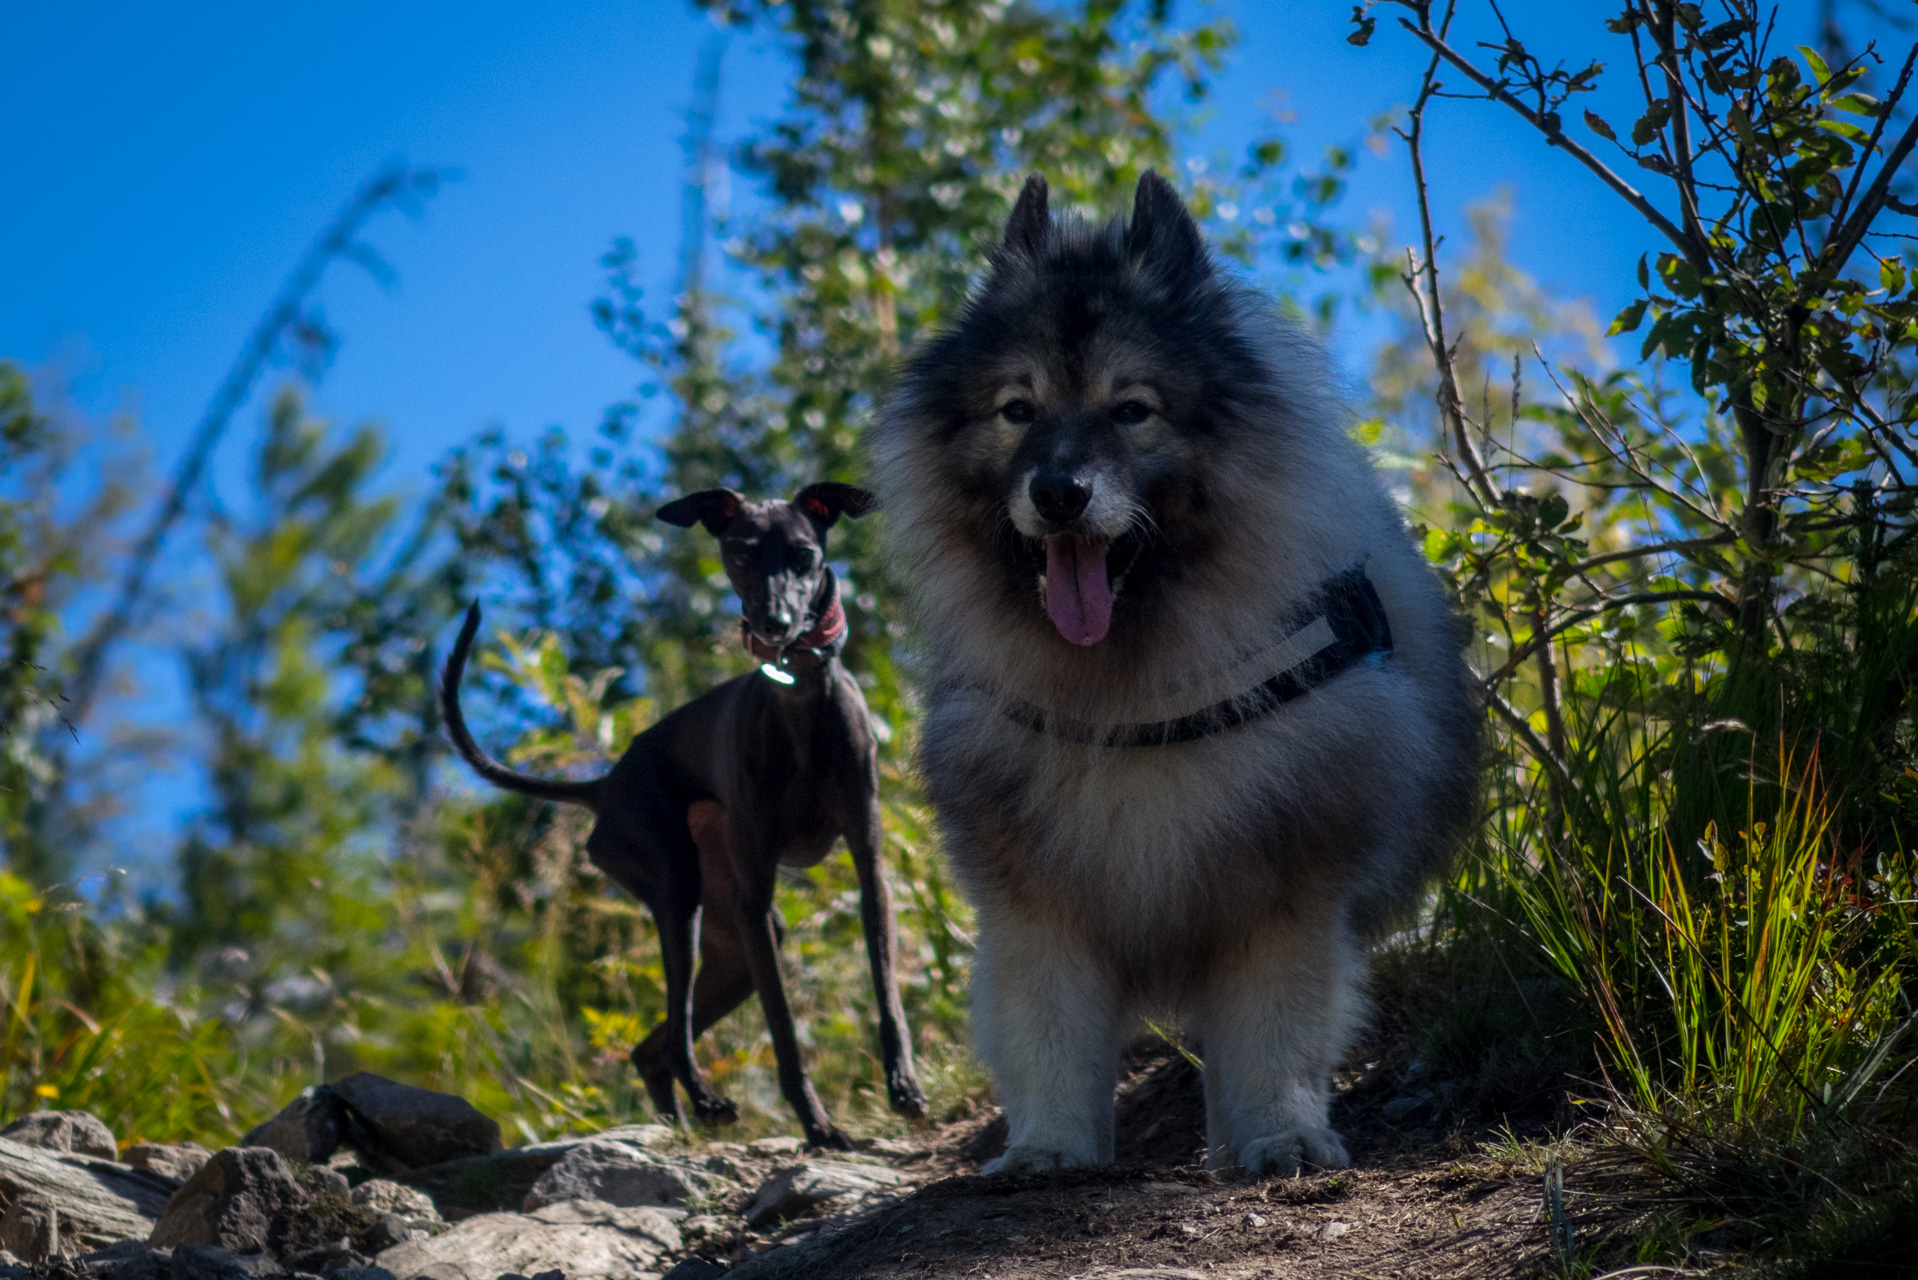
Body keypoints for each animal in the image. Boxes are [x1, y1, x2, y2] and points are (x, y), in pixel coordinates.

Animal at [448, 483, 928, 1151]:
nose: (774, 624)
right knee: (674, 1036)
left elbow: (887, 989)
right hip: (680, 894)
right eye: (740, 553)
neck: (798, 700)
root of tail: (606, 785)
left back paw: (681, 1123)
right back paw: (705, 1102)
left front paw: (904, 1087)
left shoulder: (868, 868)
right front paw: (819, 1126)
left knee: (650, 1049)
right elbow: (784, 1032)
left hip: (729, 942)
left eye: (804, 554)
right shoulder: (754, 902)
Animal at [870, 175, 1480, 1174]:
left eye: (1132, 410)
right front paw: (1048, 1150)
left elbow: (1275, 1032)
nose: (1059, 493)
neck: (1131, 690)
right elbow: (1047, 1035)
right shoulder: (1037, 909)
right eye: (1017, 410)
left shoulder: (1285, 896)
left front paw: (1283, 1137)